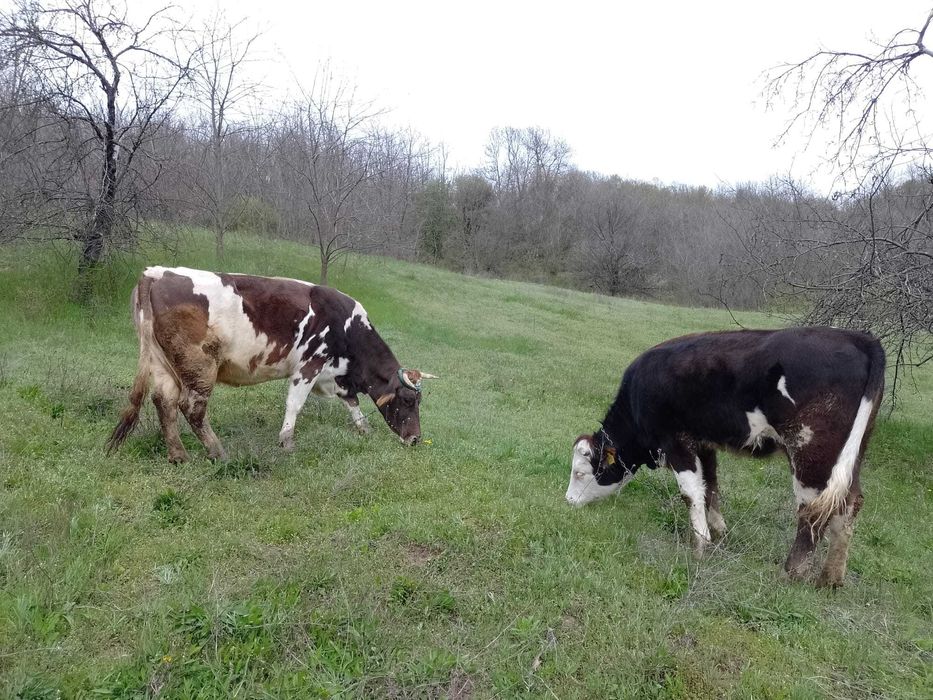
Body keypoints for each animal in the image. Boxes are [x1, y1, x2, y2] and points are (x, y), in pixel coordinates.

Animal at [107, 266, 436, 462]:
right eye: (408, 400)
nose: (416, 439)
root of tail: (156, 273)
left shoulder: (335, 377)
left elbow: (352, 402)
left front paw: (364, 429)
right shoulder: (309, 365)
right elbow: (295, 404)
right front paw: (286, 442)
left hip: (163, 363)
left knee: (163, 401)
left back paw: (178, 456)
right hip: (199, 365)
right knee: (192, 408)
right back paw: (218, 452)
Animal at [565, 327, 885, 588]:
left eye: (580, 472)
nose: (568, 501)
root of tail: (860, 339)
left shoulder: (676, 443)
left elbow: (691, 492)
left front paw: (700, 544)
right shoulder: (704, 443)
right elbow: (711, 486)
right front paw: (718, 530)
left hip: (811, 453)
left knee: (813, 511)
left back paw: (791, 573)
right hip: (851, 454)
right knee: (850, 503)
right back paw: (831, 578)